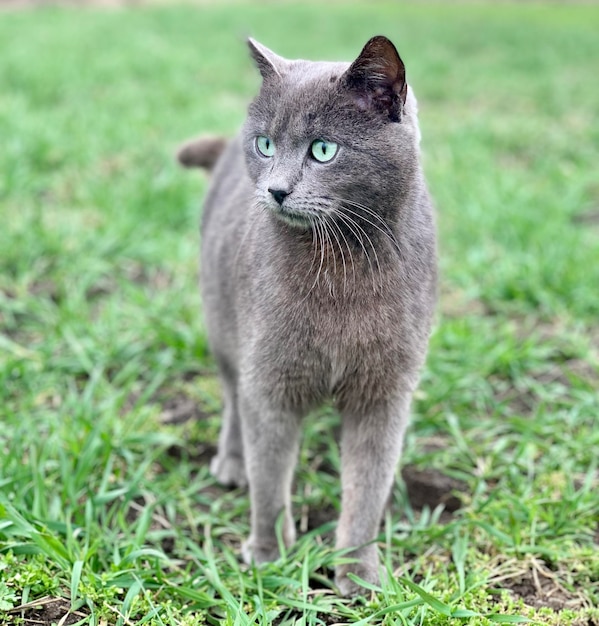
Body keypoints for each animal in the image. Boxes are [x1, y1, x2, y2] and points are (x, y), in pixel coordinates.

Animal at [178, 35, 436, 596]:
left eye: (323, 150)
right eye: (266, 145)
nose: (275, 190)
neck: (339, 265)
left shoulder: (385, 393)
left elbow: (367, 489)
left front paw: (359, 574)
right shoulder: (270, 380)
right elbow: (270, 477)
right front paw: (268, 554)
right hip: (223, 325)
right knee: (233, 398)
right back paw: (232, 463)